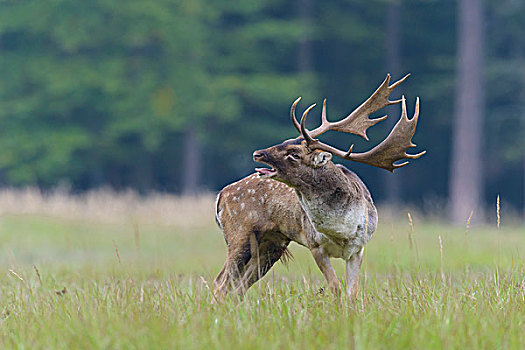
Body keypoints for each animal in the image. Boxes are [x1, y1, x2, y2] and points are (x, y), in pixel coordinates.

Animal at [211, 73, 424, 298]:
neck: (341, 231)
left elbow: (352, 292)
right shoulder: (314, 244)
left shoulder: (359, 248)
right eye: (285, 141)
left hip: (271, 244)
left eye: (294, 153)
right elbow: (336, 288)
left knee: (238, 287)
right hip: (240, 233)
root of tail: (222, 194)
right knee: (220, 283)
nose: (258, 153)